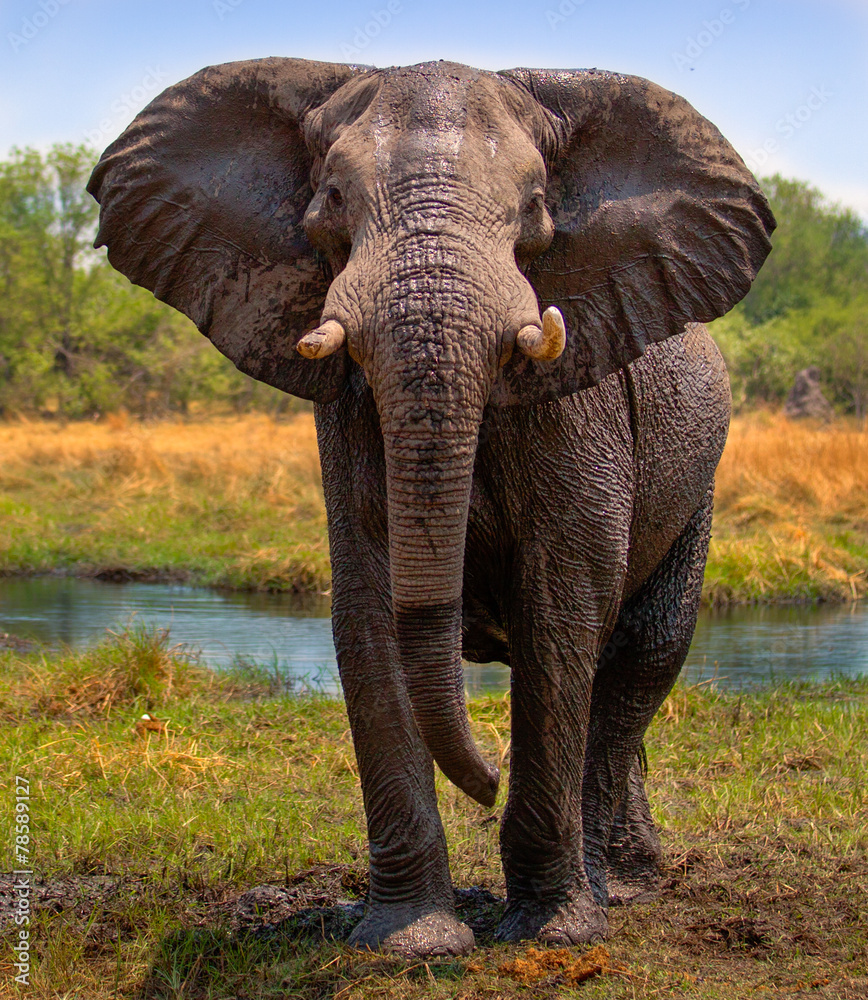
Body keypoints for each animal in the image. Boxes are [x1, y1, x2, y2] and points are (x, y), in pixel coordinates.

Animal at [88, 57, 774, 956]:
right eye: (333, 198)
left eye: (534, 206)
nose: (486, 779)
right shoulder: (350, 414)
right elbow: (369, 607)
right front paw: (412, 942)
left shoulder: (578, 400)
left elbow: (562, 607)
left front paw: (552, 935)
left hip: (701, 478)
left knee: (640, 655)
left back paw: (616, 888)